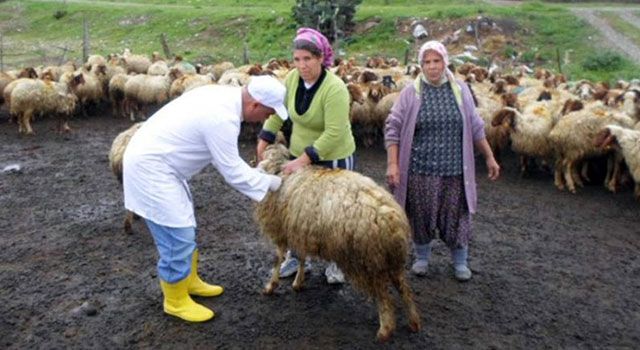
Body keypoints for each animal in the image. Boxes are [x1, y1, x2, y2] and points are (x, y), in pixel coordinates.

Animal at [252, 143, 422, 342]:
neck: (279, 168)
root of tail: (392, 219)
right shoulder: (300, 229)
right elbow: (301, 257)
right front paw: (298, 282)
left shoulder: (281, 228)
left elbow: (277, 259)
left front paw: (270, 286)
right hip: (391, 259)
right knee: (404, 289)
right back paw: (414, 322)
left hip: (368, 261)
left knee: (384, 297)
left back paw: (385, 330)